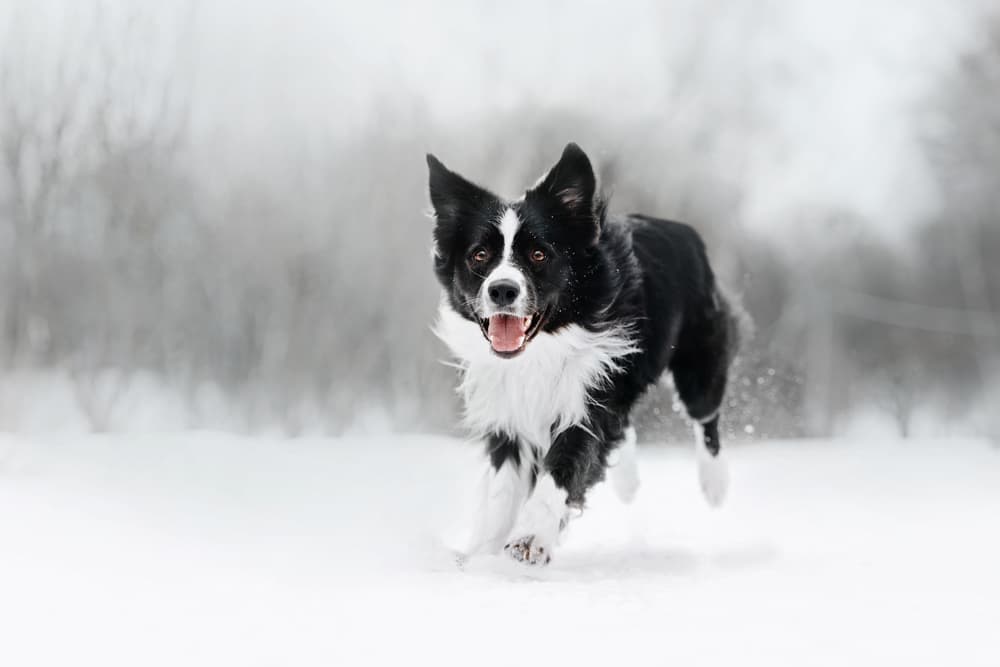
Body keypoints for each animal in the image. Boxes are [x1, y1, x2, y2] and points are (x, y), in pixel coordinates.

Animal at [426, 144, 740, 568]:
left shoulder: (588, 397)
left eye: (538, 254)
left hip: (699, 358)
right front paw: (482, 554)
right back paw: (628, 480)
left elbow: (566, 463)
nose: (502, 290)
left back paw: (715, 484)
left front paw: (530, 537)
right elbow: (502, 490)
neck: (541, 349)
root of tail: (684, 230)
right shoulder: (508, 411)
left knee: (705, 416)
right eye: (479, 255)